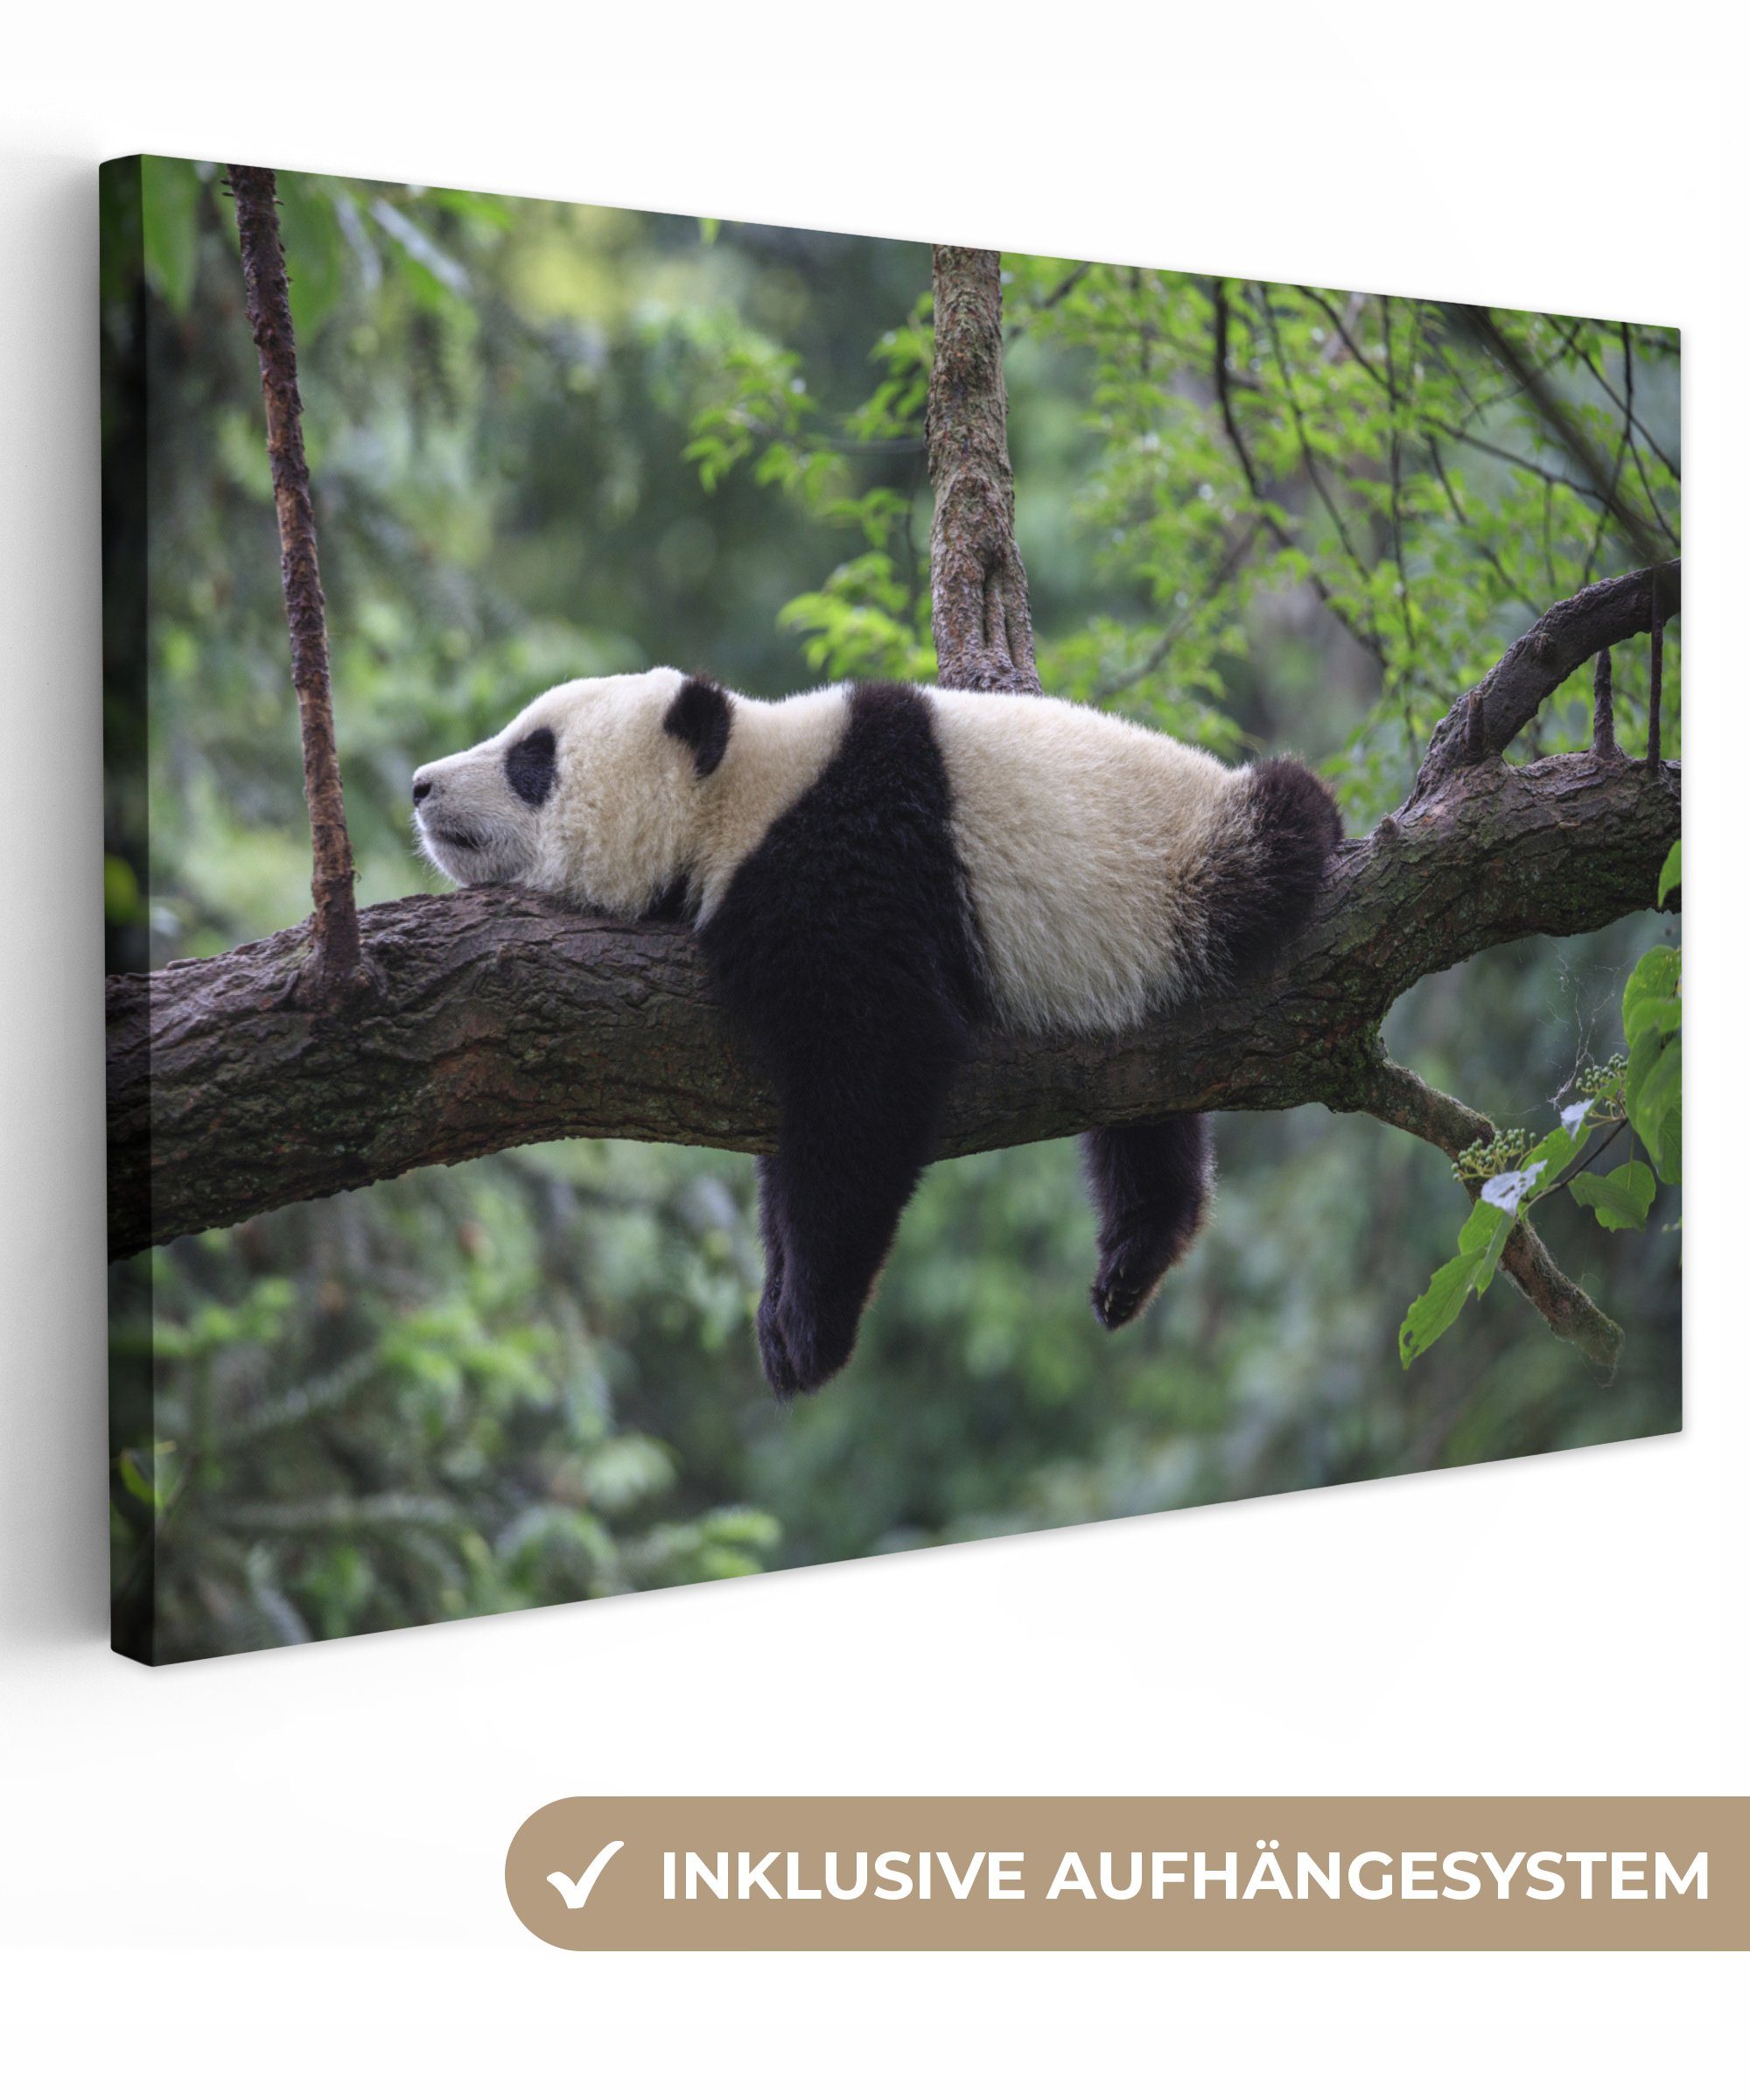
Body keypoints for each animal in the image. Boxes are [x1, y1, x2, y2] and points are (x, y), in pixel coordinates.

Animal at [412, 669, 1340, 1397]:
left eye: (532, 758)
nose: (421, 785)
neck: (741, 793)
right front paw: (777, 1302)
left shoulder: (848, 865)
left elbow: (870, 1075)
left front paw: (806, 1330)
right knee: (1148, 1107)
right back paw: (1137, 1251)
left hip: (1187, 873)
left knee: (1281, 826)